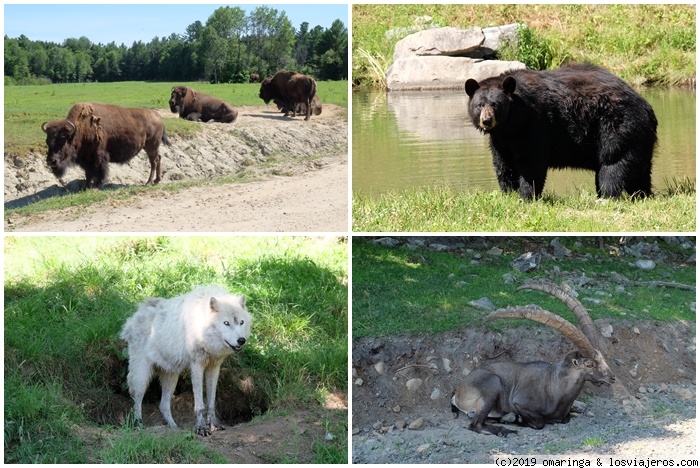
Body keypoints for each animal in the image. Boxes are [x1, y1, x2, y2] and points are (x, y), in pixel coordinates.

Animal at [42, 103, 171, 189]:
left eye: (62, 140)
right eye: (47, 141)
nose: (51, 161)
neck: (80, 129)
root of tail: (158, 116)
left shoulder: (99, 155)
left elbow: (99, 170)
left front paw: (98, 184)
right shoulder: (86, 158)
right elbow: (88, 172)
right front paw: (86, 186)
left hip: (151, 146)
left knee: (154, 161)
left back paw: (148, 182)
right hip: (151, 147)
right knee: (159, 158)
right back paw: (157, 180)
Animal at [120, 286, 252, 436]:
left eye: (241, 322)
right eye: (226, 323)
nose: (241, 340)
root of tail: (135, 315)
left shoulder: (214, 367)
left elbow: (211, 402)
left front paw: (214, 425)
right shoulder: (197, 365)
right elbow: (200, 404)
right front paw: (201, 428)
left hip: (171, 376)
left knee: (163, 405)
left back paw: (174, 428)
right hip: (142, 375)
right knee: (136, 398)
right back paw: (139, 424)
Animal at [464, 63, 656, 200]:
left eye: (495, 104)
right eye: (480, 105)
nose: (486, 121)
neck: (512, 123)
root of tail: (646, 106)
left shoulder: (535, 124)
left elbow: (531, 162)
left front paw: (527, 195)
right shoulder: (501, 140)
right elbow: (503, 164)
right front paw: (508, 193)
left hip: (617, 126)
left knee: (613, 163)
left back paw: (606, 195)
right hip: (639, 139)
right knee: (639, 171)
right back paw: (642, 194)